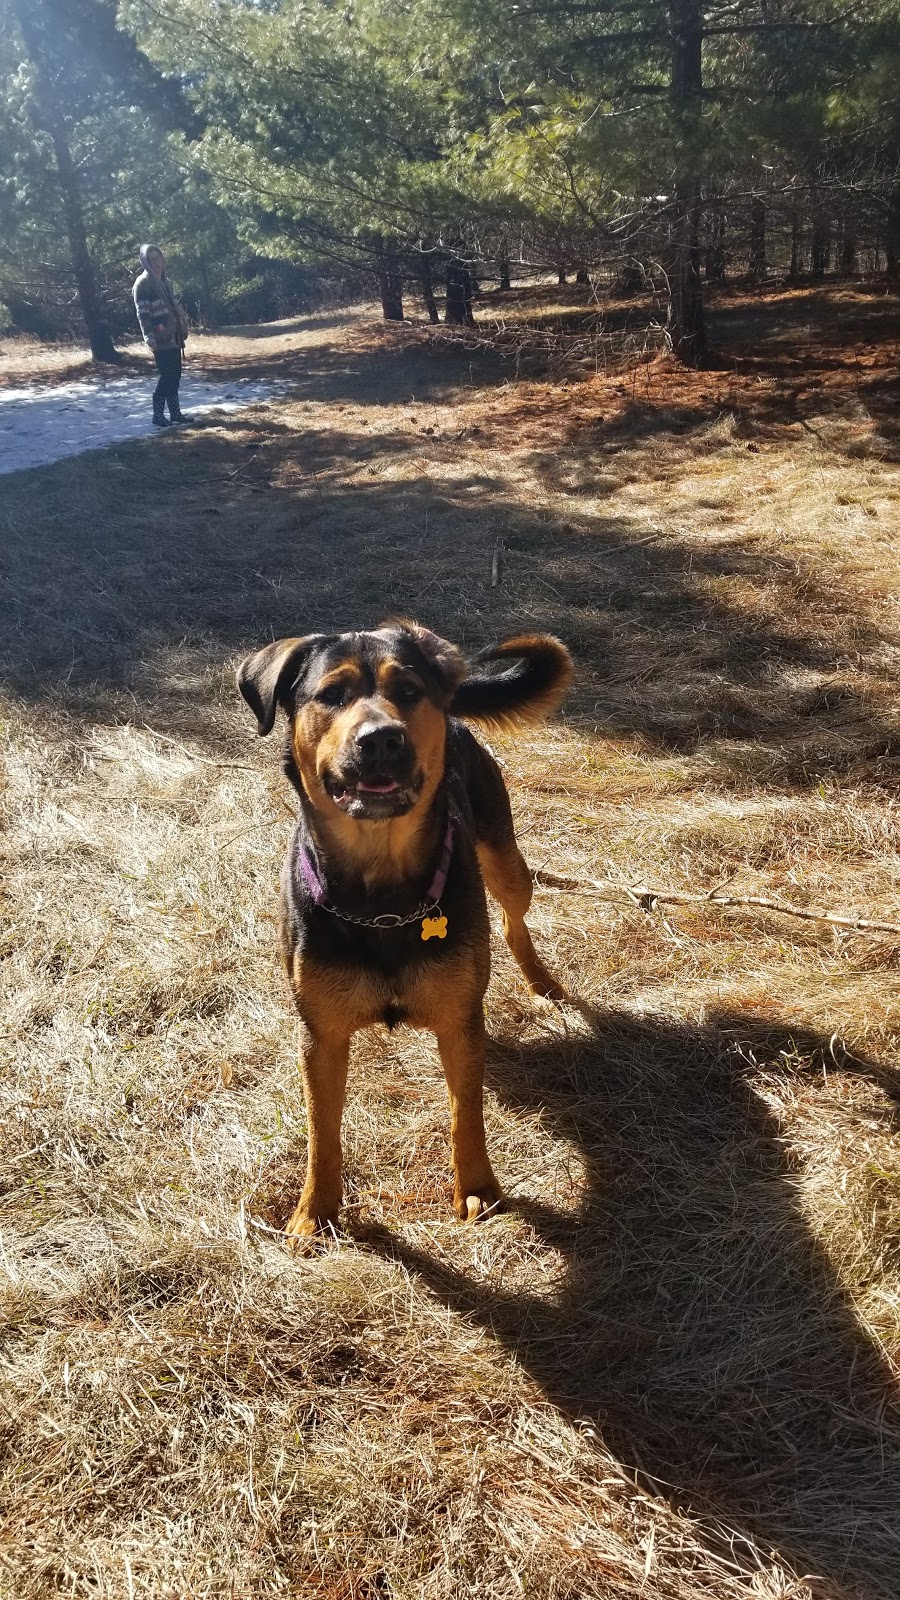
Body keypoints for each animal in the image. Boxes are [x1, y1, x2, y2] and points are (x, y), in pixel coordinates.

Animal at [237, 620, 566, 1235]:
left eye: (409, 691)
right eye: (332, 694)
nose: (382, 739)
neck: (381, 897)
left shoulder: (459, 1022)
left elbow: (466, 1111)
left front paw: (476, 1188)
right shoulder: (321, 1034)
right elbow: (322, 1132)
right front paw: (313, 1213)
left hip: (504, 857)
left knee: (513, 917)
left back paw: (543, 981)